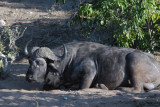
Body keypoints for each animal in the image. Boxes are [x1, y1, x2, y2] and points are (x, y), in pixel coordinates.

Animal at [25, 40, 160, 92]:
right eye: (30, 62)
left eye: (41, 63)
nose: (29, 77)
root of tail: (156, 63)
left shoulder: (89, 73)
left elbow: (82, 87)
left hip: (133, 59)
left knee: (137, 88)